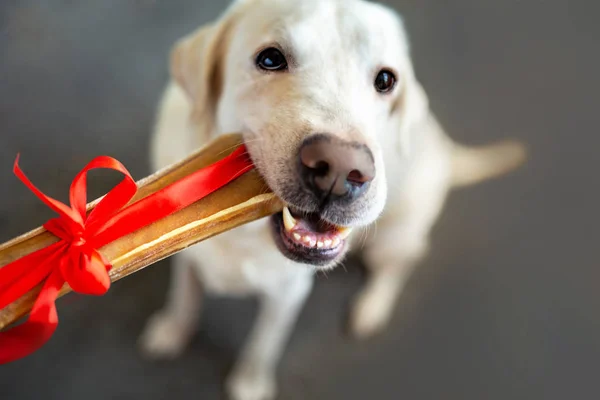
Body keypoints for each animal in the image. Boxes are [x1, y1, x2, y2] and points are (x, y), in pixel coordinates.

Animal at [138, 1, 528, 398]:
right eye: (270, 58)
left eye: (386, 80)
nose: (341, 169)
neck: (241, 233)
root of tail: (447, 151)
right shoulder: (186, 260)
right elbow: (184, 296)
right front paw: (172, 330)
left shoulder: (287, 296)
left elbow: (262, 345)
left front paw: (249, 383)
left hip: (394, 236)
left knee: (403, 261)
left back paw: (372, 307)